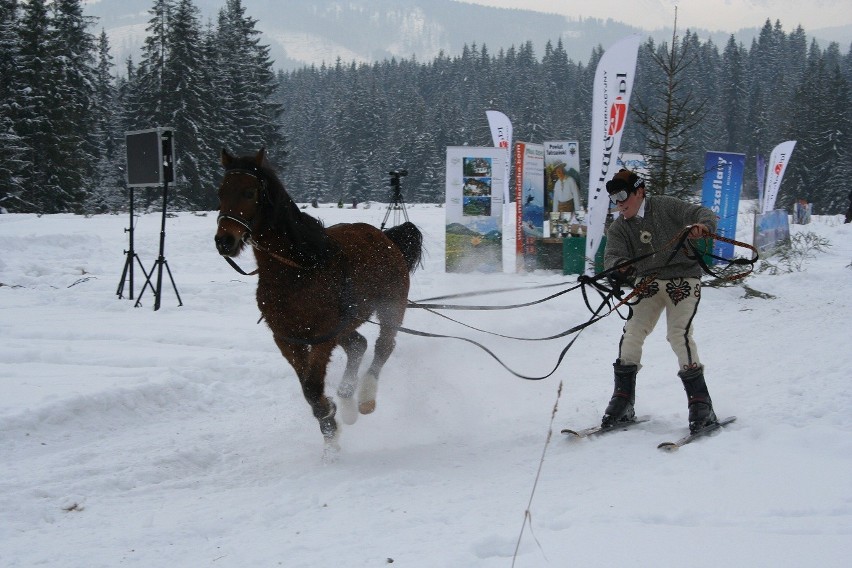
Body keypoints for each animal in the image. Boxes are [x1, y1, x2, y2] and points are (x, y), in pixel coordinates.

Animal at [215, 148, 424, 458]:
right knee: (358, 344)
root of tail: (386, 237)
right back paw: (347, 399)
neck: (298, 268)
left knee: (382, 346)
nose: (224, 241)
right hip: (346, 323)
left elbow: (313, 387)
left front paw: (330, 422)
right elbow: (307, 388)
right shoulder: (287, 338)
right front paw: (331, 426)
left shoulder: (322, 337)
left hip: (391, 308)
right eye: (220, 192)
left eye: (249, 192)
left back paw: (364, 398)